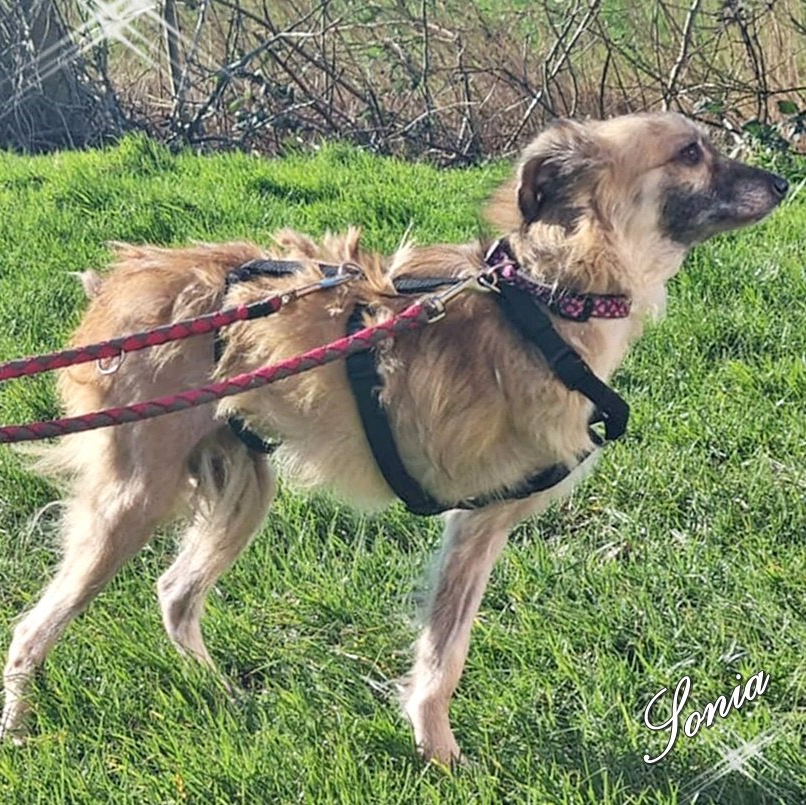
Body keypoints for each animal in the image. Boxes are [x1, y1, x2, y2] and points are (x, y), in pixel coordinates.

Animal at [0, 112, 787, 763]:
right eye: (690, 152)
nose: (784, 181)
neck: (543, 299)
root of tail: (123, 282)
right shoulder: (478, 522)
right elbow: (443, 657)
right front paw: (444, 759)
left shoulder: (477, 525)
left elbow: (442, 647)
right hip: (133, 497)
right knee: (31, 629)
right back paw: (18, 726)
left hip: (245, 485)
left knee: (174, 592)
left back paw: (222, 693)